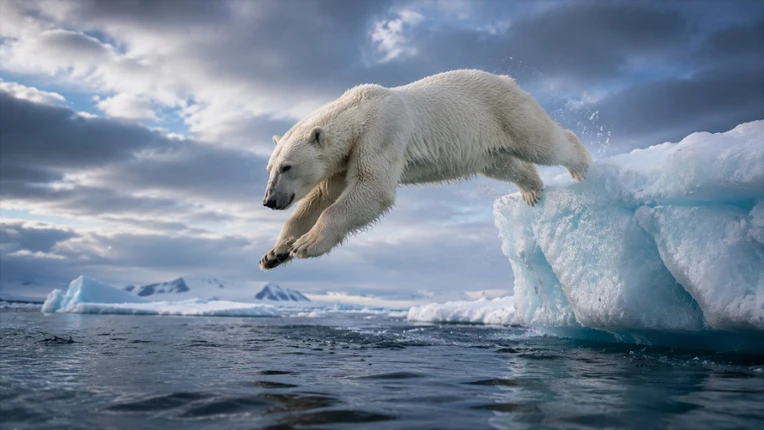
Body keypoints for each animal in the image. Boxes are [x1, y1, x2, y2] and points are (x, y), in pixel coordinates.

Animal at [260, 69, 592, 270]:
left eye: (287, 166)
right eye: (269, 168)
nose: (269, 200)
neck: (359, 110)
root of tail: (508, 79)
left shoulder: (380, 134)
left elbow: (372, 188)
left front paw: (306, 245)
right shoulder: (345, 157)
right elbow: (321, 197)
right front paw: (275, 253)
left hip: (505, 112)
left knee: (542, 142)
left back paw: (582, 168)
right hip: (484, 143)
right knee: (506, 164)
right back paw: (532, 190)